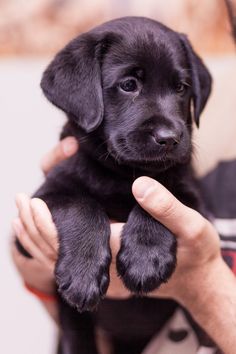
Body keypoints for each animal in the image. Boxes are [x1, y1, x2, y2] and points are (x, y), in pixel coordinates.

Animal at [17, 15, 212, 354]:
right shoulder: (44, 197)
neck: (122, 174)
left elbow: (160, 198)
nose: (169, 138)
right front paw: (82, 274)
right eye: (128, 85)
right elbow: (81, 205)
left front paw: (145, 258)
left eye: (181, 87)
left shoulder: (194, 199)